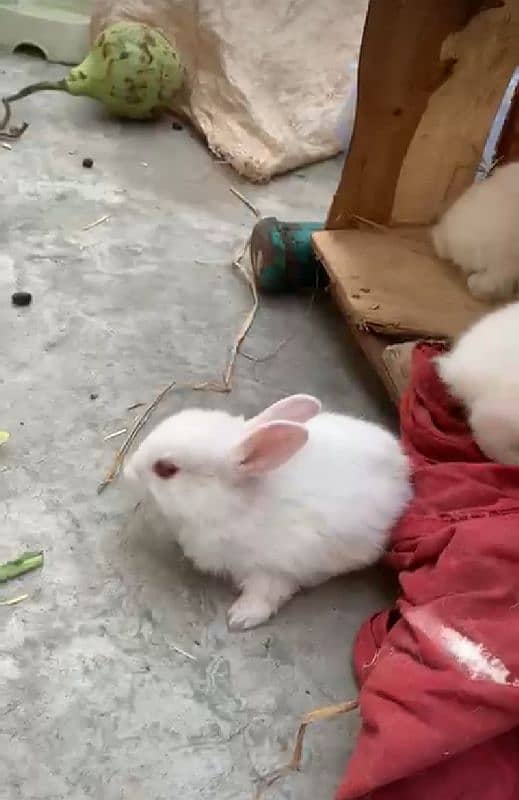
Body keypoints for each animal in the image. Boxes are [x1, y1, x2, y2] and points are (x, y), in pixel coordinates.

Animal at [124, 394, 412, 632]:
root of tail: (403, 469)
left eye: (166, 469)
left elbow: (265, 597)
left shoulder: (274, 571)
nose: (127, 471)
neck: (231, 505)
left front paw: (239, 619)